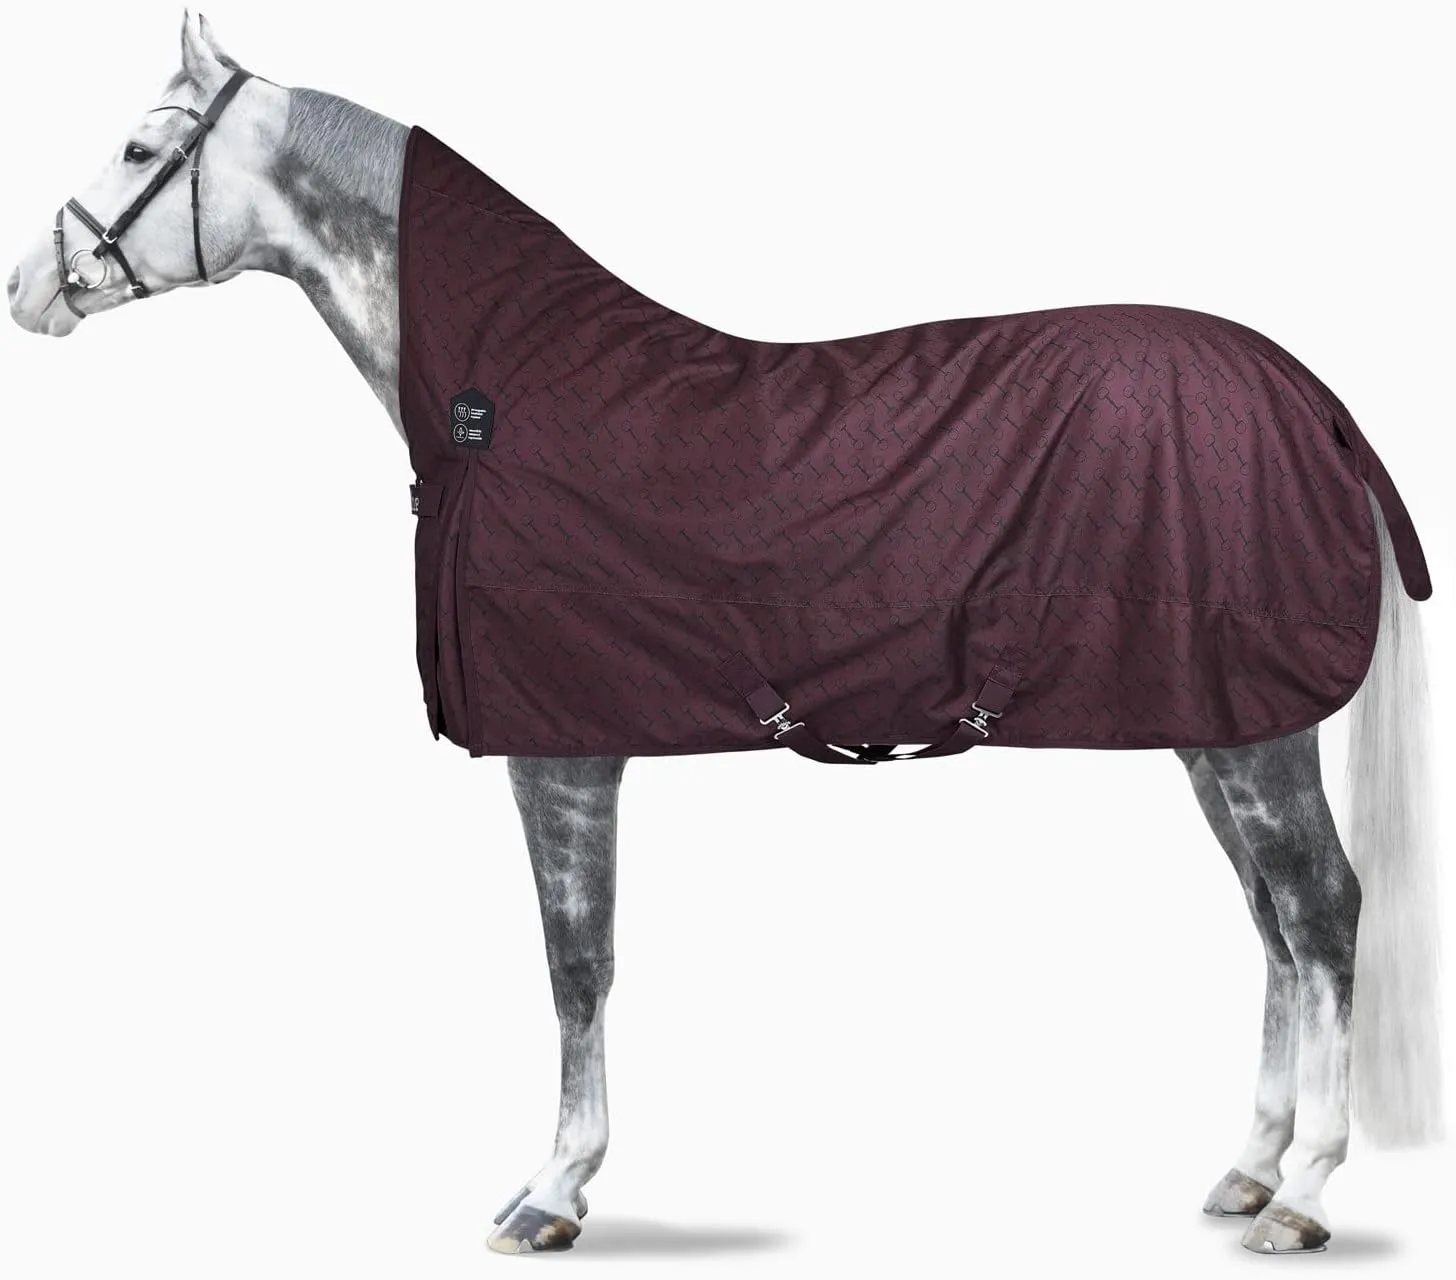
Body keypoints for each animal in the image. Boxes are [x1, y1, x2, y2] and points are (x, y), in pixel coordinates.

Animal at [6, 13, 1441, 1256]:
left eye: (137, 148)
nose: (28, 288)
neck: (510, 398)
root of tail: (1315, 402)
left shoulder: (563, 753)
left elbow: (575, 961)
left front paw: (552, 1190)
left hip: (1254, 734)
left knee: (1320, 910)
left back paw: (1301, 1192)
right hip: (1210, 725)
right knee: (1270, 922)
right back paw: (1247, 1165)